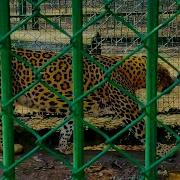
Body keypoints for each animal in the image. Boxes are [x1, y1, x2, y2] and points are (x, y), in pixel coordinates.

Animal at [0, 47, 174, 153]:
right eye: (164, 73)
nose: (173, 83)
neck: (131, 74)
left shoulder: (74, 107)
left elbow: (67, 128)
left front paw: (63, 148)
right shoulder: (129, 111)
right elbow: (144, 131)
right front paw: (163, 149)